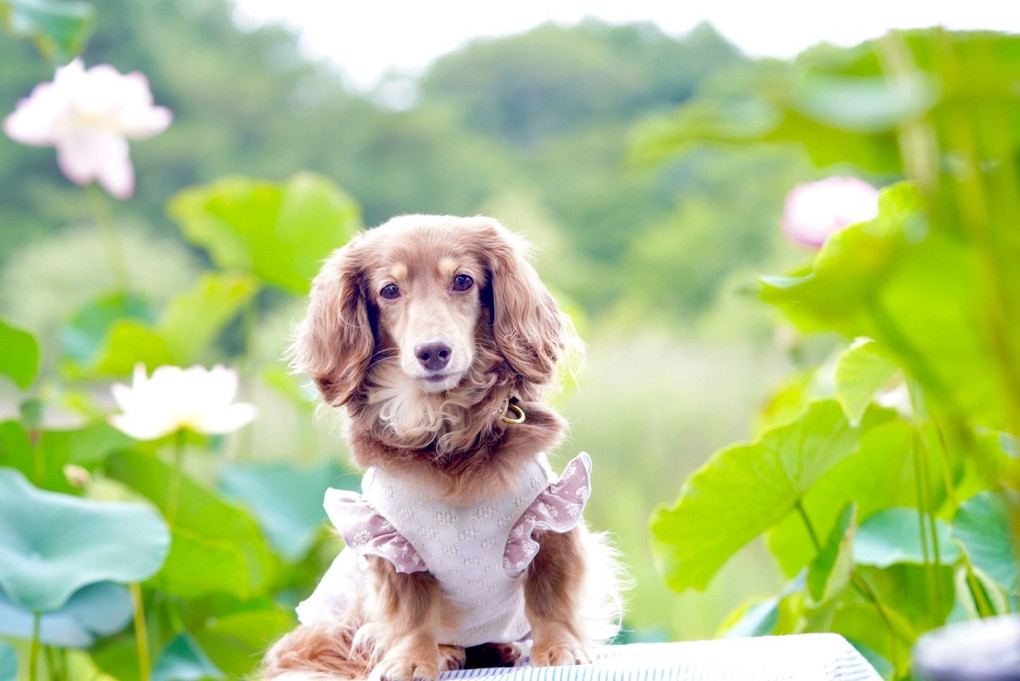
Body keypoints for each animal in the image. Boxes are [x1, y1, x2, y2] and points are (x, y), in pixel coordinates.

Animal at [263, 215, 620, 681]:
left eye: (463, 280)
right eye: (389, 290)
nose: (433, 352)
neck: (445, 432)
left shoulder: (551, 518)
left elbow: (550, 597)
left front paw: (560, 648)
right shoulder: (391, 546)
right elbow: (412, 613)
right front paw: (412, 660)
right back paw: (448, 651)